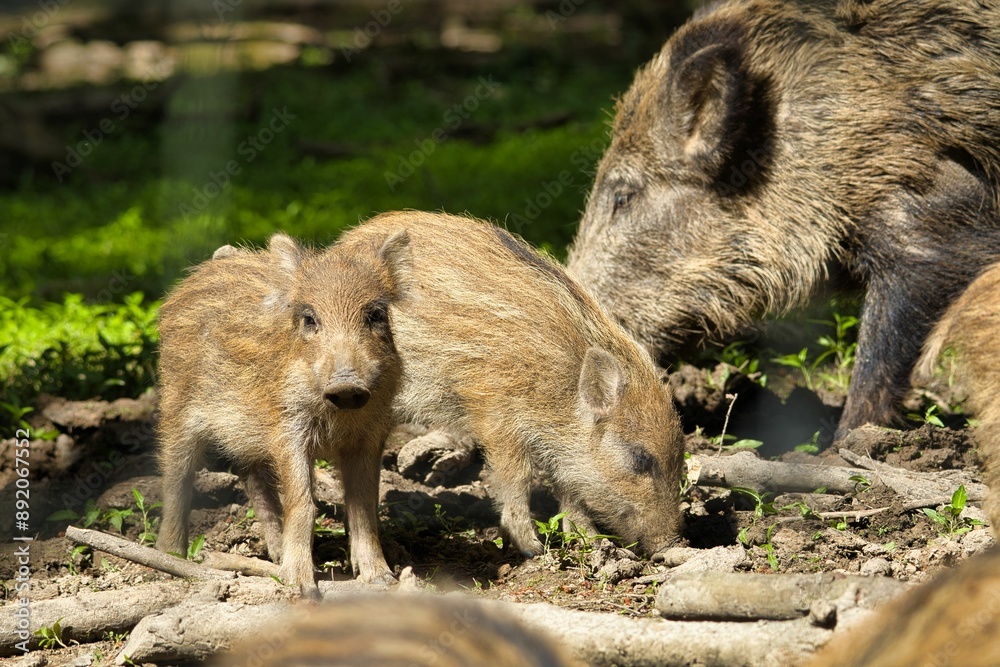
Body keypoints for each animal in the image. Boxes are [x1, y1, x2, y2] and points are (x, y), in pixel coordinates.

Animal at [156, 231, 410, 597]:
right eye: (309, 318)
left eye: (375, 314)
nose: (347, 384)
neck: (336, 417)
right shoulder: (287, 429)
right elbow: (303, 503)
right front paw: (300, 586)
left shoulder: (370, 436)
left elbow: (363, 506)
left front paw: (381, 578)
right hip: (176, 408)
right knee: (176, 477)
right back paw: (171, 558)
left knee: (250, 476)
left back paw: (275, 556)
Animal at [337, 212, 685, 557]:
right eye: (640, 459)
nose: (669, 547)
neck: (560, 386)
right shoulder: (496, 415)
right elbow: (518, 477)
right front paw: (533, 549)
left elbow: (567, 485)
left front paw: (589, 541)